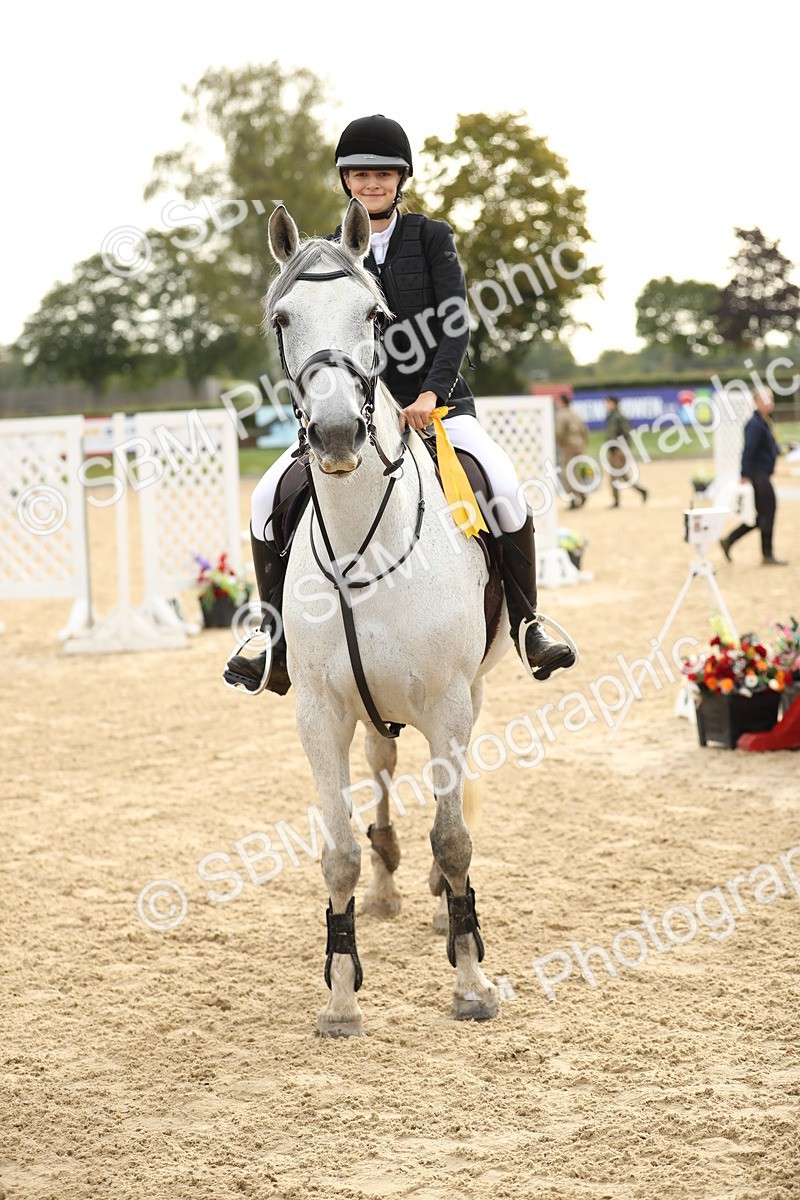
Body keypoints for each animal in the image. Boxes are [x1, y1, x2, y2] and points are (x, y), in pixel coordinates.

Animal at [266, 198, 510, 1036]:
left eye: (374, 315)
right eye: (282, 319)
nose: (338, 435)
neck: (360, 546)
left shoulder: (447, 700)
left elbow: (456, 837)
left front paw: (471, 984)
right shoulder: (318, 709)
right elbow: (337, 849)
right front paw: (341, 997)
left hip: (474, 688)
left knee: (454, 793)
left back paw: (437, 902)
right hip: (371, 706)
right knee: (380, 766)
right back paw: (387, 885)